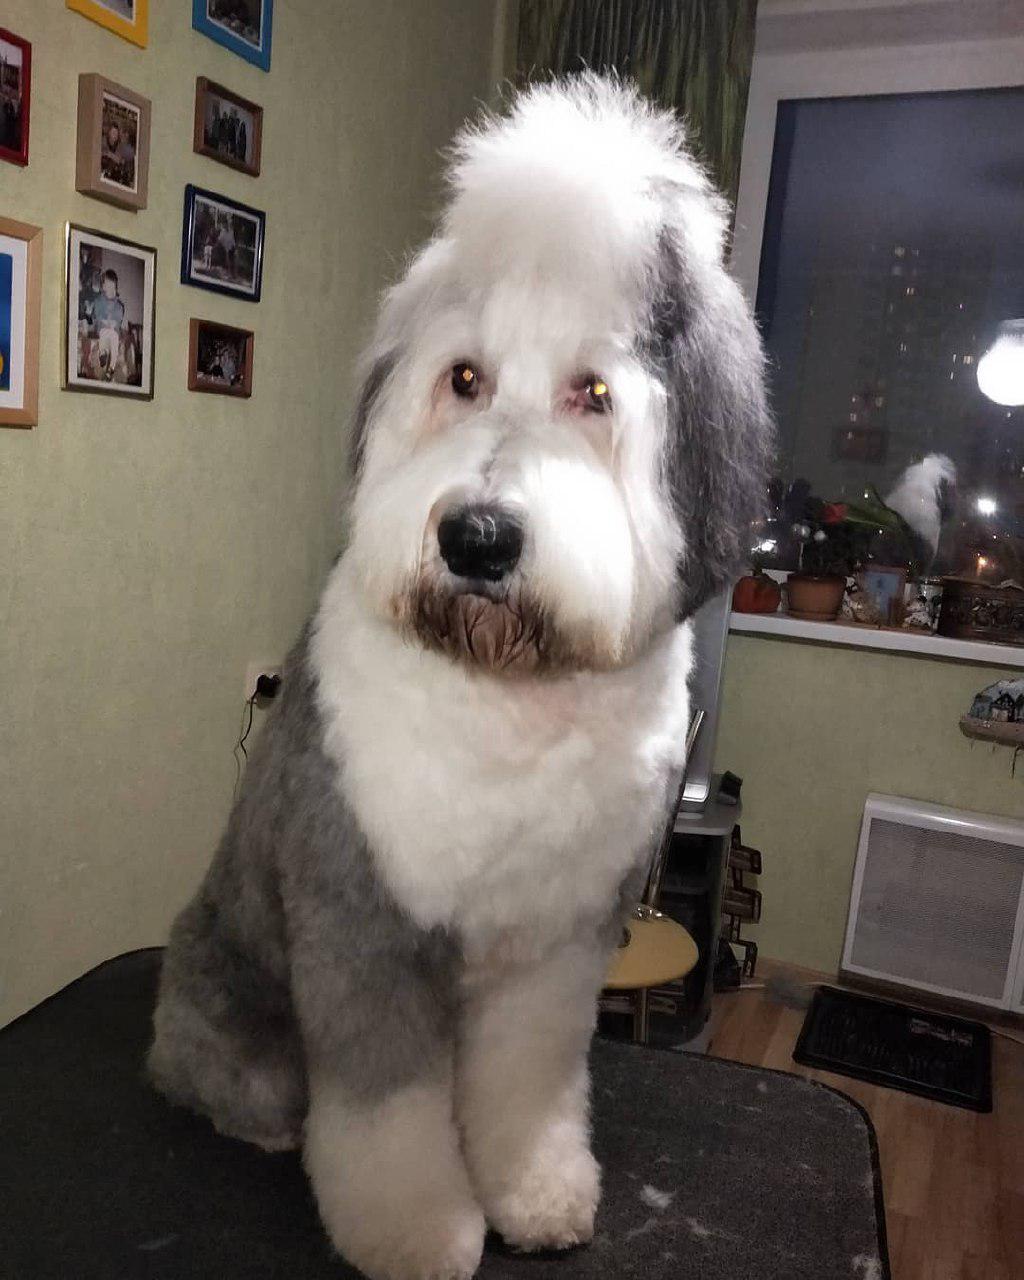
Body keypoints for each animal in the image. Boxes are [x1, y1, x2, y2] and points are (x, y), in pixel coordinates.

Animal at [147, 74, 773, 1274]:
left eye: (593, 393)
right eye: (464, 379)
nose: (477, 538)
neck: (508, 703)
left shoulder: (560, 944)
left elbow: (527, 1083)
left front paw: (536, 1195)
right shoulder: (367, 924)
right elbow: (388, 1114)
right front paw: (419, 1233)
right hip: (230, 1001)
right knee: (227, 1080)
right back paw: (260, 1120)